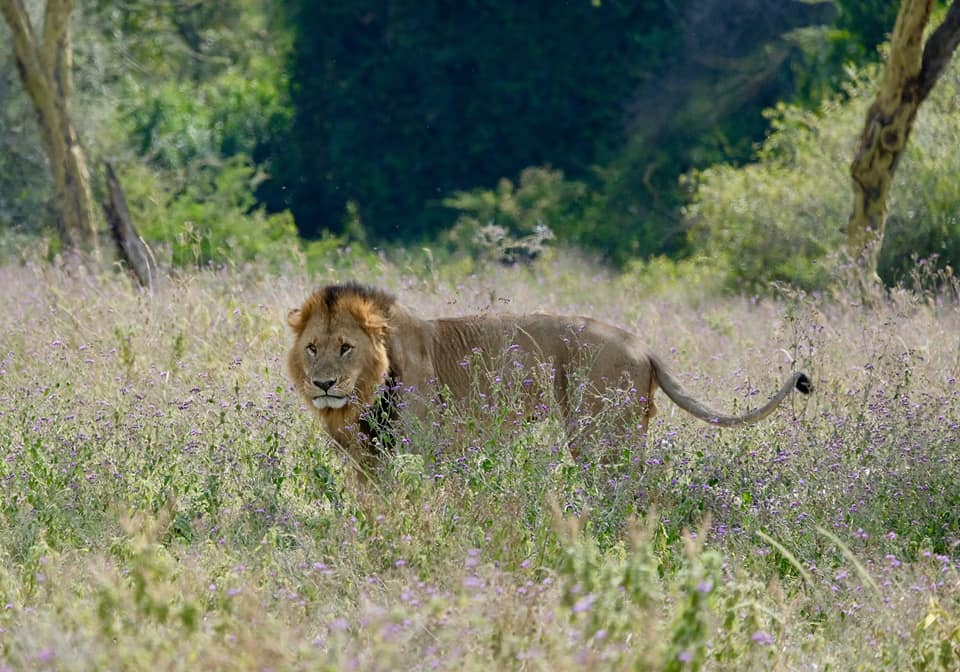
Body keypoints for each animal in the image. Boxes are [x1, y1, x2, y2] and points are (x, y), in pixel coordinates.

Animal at [286, 283, 811, 468]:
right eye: (313, 349)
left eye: (346, 348)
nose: (324, 384)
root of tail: (641, 344)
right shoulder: (367, 459)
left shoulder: (438, 448)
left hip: (601, 433)